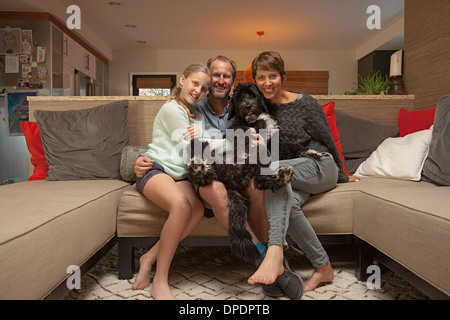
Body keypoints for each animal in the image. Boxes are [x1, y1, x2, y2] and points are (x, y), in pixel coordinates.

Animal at [188, 82, 322, 262]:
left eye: (253, 95)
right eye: (239, 98)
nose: (247, 106)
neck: (255, 120)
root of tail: (229, 181)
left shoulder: (274, 145)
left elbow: (291, 147)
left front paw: (310, 151)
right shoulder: (240, 131)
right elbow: (245, 134)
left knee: (258, 180)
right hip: (205, 148)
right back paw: (199, 168)